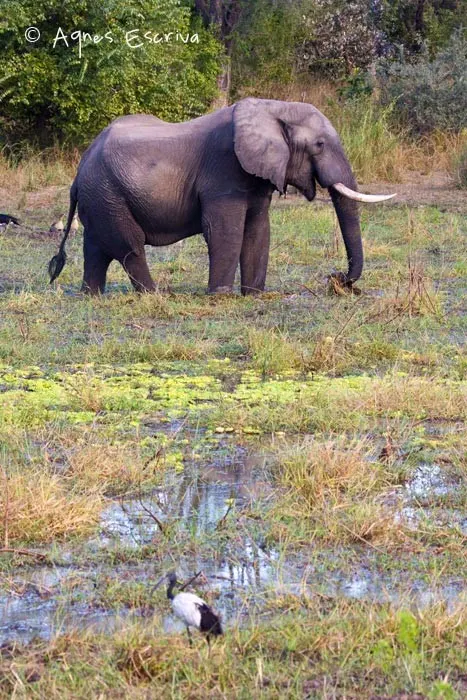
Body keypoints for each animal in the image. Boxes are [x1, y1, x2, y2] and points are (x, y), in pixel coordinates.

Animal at [48, 98, 394, 295]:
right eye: (319, 145)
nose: (336, 279)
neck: (273, 108)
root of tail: (78, 172)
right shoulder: (224, 171)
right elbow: (224, 231)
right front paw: (222, 295)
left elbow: (258, 230)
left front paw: (254, 295)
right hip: (107, 193)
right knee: (130, 247)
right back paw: (156, 295)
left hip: (100, 198)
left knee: (97, 249)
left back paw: (90, 295)